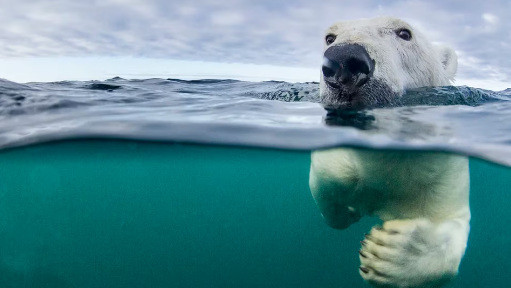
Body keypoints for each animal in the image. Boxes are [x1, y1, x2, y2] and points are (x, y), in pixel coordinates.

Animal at [308, 16, 472, 286]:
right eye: (330, 37)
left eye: (404, 33)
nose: (344, 60)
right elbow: (328, 178)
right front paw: (348, 208)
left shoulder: (444, 171)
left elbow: (451, 222)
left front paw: (389, 254)